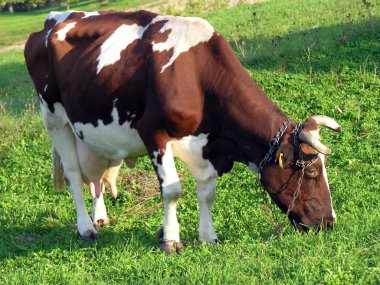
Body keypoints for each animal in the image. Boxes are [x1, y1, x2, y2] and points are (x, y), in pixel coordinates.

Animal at [25, 10, 342, 252]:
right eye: (312, 171)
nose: (329, 222)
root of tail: (54, 20)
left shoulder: (206, 147)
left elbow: (208, 192)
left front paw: (208, 237)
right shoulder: (154, 133)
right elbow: (172, 191)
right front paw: (171, 240)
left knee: (96, 178)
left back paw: (99, 218)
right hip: (54, 119)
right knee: (74, 174)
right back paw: (86, 229)